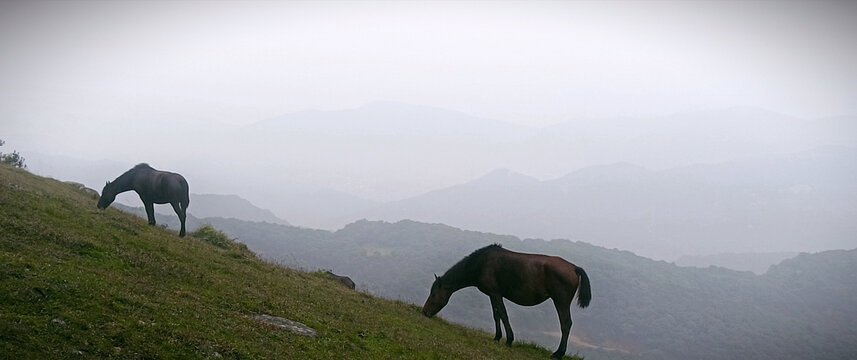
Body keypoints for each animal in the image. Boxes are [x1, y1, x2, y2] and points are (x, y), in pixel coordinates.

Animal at [422, 243, 588, 358]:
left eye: (433, 295)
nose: (424, 312)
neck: (481, 263)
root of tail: (574, 268)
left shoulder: (495, 293)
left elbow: (503, 314)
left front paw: (509, 339)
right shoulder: (492, 295)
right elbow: (496, 315)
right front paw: (497, 337)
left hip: (561, 302)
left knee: (566, 324)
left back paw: (558, 353)